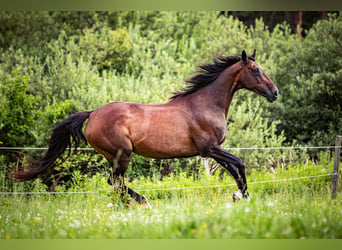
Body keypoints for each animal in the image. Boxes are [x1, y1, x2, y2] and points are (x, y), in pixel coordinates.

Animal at [10, 50, 278, 205]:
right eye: (256, 70)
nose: (275, 92)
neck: (205, 103)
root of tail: (93, 114)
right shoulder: (209, 148)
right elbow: (240, 163)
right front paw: (243, 196)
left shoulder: (213, 151)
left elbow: (234, 169)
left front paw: (239, 195)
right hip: (122, 154)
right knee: (115, 181)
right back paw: (141, 202)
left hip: (114, 156)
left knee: (115, 183)